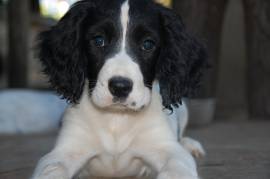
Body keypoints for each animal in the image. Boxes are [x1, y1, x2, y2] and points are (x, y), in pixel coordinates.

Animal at [31, 0, 207, 178]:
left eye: (148, 44)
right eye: (98, 40)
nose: (120, 87)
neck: (117, 119)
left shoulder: (168, 148)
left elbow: (177, 168)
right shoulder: (64, 150)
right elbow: (52, 170)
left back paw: (190, 144)